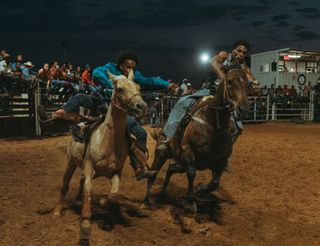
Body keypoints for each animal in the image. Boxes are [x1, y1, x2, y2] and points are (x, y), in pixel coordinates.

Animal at [52, 70, 148, 235]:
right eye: (120, 89)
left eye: (138, 87)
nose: (141, 107)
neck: (109, 140)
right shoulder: (89, 166)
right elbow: (88, 189)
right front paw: (85, 220)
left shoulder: (115, 172)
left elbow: (113, 194)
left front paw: (110, 206)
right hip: (71, 162)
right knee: (66, 185)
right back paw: (58, 210)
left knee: (81, 182)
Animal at [144, 68, 251, 209]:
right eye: (229, 82)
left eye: (247, 84)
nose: (243, 109)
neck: (213, 122)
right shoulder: (188, 151)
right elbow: (192, 173)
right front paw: (191, 201)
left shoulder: (221, 159)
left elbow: (215, 182)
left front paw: (200, 190)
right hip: (162, 155)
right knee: (153, 174)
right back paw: (147, 200)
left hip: (181, 163)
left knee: (170, 169)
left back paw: (162, 192)